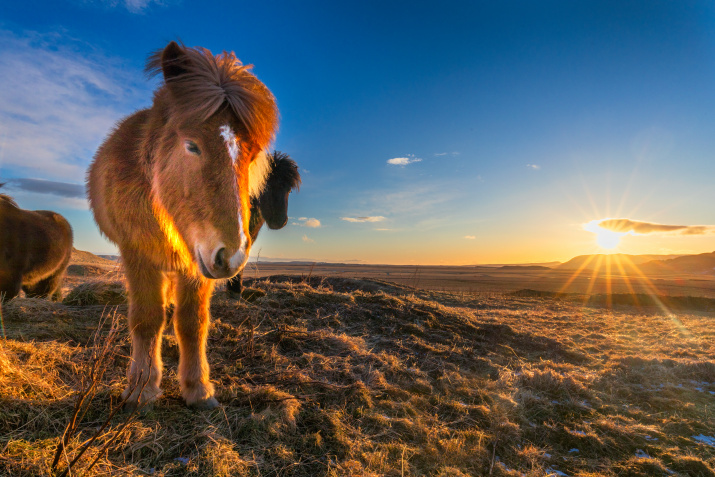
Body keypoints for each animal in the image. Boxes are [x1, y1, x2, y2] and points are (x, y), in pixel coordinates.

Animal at [87, 41, 280, 410]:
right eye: (192, 146)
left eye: (251, 157)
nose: (232, 257)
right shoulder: (138, 255)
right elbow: (147, 319)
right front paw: (141, 390)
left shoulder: (197, 261)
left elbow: (193, 324)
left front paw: (198, 389)